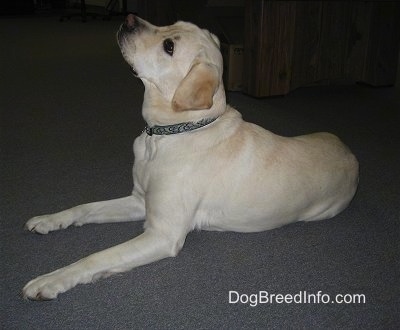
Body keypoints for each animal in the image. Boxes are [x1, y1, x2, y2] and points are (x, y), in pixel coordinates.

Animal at [21, 14, 360, 300]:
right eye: (171, 23)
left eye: (169, 46)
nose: (129, 18)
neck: (167, 134)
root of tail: (350, 152)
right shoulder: (139, 200)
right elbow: (86, 208)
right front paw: (50, 220)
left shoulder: (162, 233)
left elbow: (97, 257)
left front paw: (51, 279)